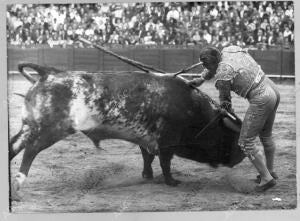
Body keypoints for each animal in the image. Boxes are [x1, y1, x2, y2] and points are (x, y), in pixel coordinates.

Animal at [9, 62, 245, 200]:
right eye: (229, 137)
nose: (241, 156)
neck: (193, 110)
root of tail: (48, 75)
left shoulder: (146, 138)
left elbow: (148, 157)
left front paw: (147, 176)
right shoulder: (167, 143)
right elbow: (165, 163)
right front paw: (171, 182)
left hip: (30, 126)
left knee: (13, 145)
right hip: (51, 130)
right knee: (30, 151)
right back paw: (18, 185)